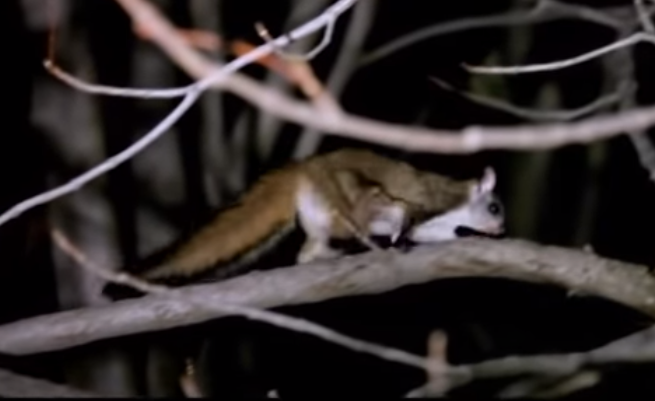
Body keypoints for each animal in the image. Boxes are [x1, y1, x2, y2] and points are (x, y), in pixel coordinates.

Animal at [102, 148, 504, 299]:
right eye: (495, 207)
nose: (501, 230)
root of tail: (302, 170)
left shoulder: (438, 226)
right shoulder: (430, 201)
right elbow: (410, 216)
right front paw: (401, 239)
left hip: (319, 216)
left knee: (306, 253)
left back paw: (326, 256)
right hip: (344, 191)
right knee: (363, 212)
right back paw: (366, 244)